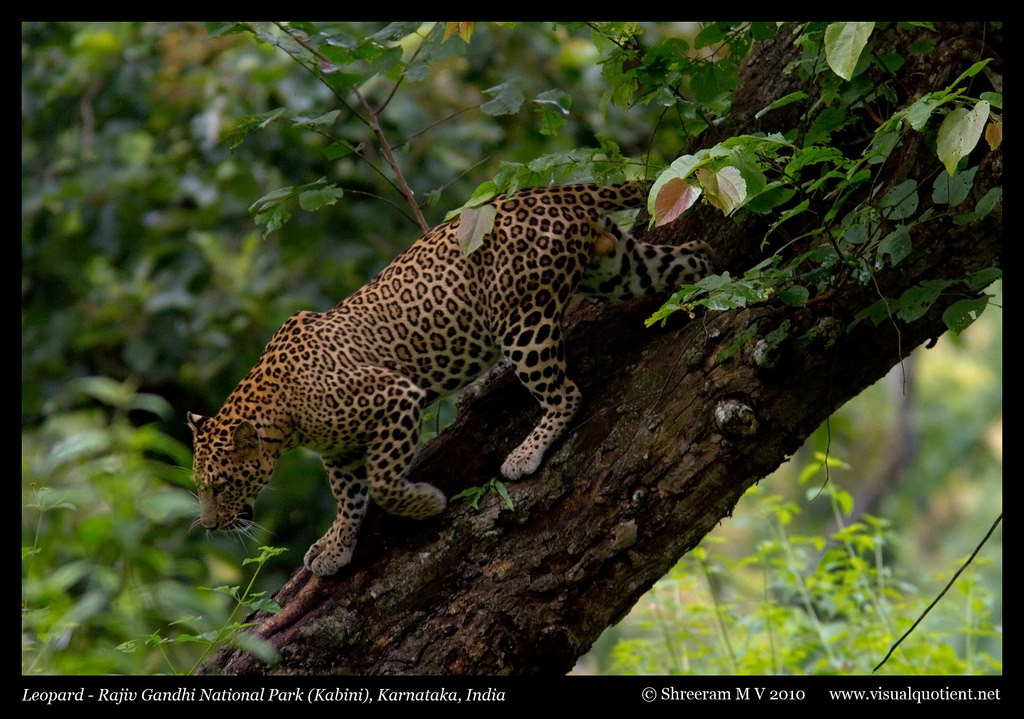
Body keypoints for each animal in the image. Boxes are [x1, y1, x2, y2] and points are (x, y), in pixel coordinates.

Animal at [188, 181, 714, 576]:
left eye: (221, 485)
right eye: (203, 487)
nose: (209, 526)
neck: (282, 419)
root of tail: (555, 191)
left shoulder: (395, 397)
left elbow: (382, 482)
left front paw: (425, 503)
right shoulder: (339, 451)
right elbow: (349, 497)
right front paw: (336, 545)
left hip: (522, 323)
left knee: (566, 392)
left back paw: (525, 453)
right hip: (617, 269)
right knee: (697, 254)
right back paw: (706, 295)